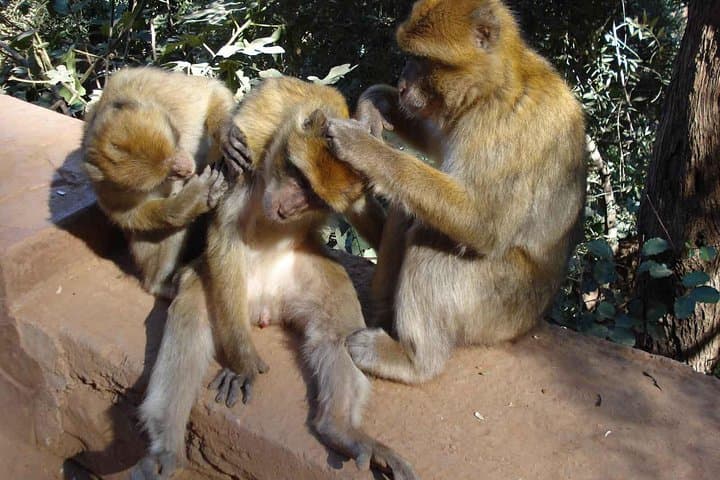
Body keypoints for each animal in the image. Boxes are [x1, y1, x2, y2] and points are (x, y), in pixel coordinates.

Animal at [82, 67, 234, 298]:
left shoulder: (167, 93)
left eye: (177, 143)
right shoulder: (106, 186)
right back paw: (160, 285)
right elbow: (128, 216)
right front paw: (192, 199)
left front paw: (227, 132)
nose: (187, 169)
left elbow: (211, 93)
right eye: (167, 174)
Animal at [132, 77, 417, 480]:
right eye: (298, 176)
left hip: (309, 278)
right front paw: (244, 361)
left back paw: (340, 429)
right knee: (191, 315)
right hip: (229, 295)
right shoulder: (250, 144)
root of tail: (266, 305)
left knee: (337, 334)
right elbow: (225, 232)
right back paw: (165, 446)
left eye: (314, 197)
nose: (287, 207)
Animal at [322, 0, 588, 384]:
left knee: (426, 242)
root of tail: (532, 321)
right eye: (409, 55)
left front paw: (365, 149)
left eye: (424, 59)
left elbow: (485, 223)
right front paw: (376, 102)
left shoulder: (499, 126)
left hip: (498, 308)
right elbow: (438, 145)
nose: (402, 84)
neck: (494, 84)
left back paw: (412, 360)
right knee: (410, 212)